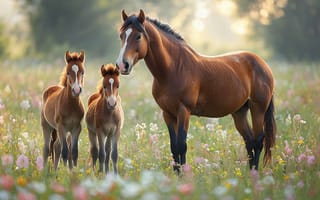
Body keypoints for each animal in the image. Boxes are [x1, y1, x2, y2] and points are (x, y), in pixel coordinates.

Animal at [116, 9, 276, 173]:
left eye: (138, 36)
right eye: (121, 35)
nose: (122, 65)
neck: (173, 69)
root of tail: (262, 64)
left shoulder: (184, 111)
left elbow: (181, 146)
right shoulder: (168, 114)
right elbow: (174, 147)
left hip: (258, 109)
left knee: (258, 141)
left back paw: (254, 174)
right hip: (239, 112)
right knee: (249, 140)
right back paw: (251, 173)